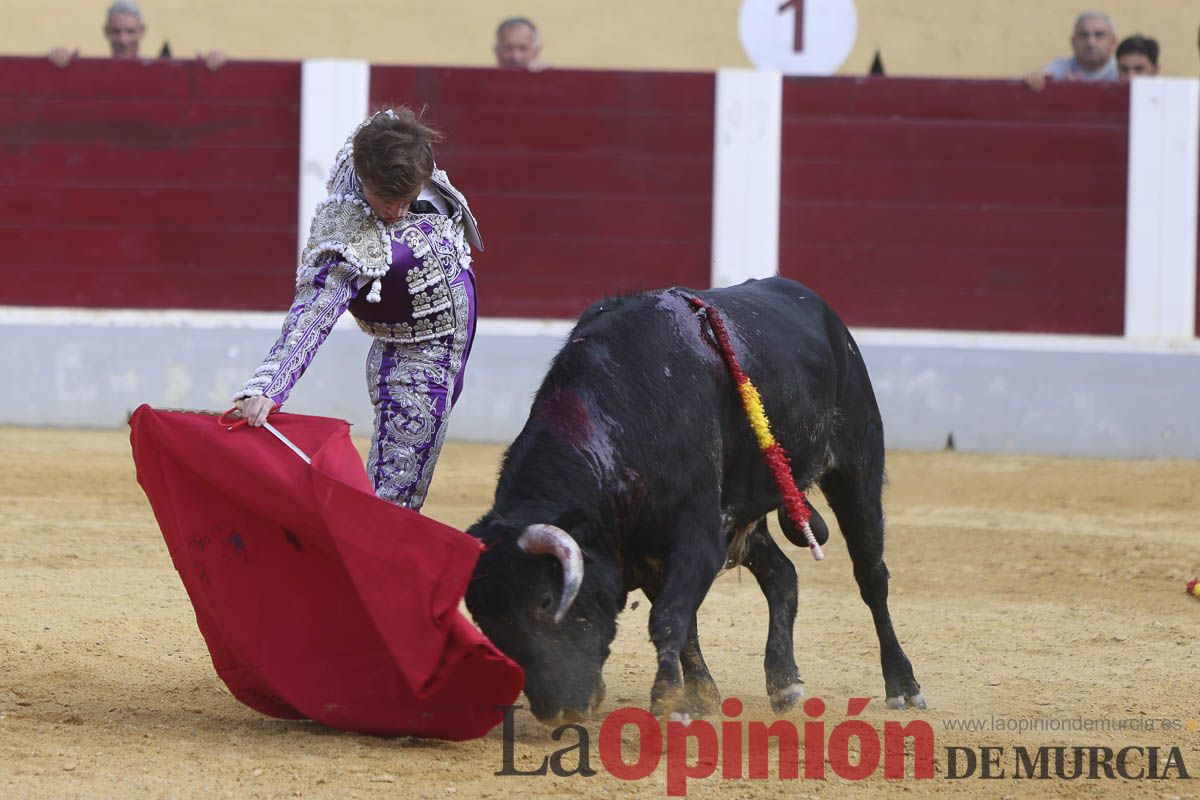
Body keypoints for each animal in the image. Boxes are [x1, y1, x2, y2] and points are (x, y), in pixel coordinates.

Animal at [463, 278, 921, 724]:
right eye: (485, 622)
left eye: (544, 601)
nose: (556, 710)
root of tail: (820, 308)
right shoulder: (647, 551)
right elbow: (686, 627)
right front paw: (700, 698)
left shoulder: (697, 538)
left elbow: (668, 620)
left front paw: (668, 704)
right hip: (745, 509)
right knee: (782, 574)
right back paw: (785, 683)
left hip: (856, 465)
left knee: (871, 577)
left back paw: (903, 685)